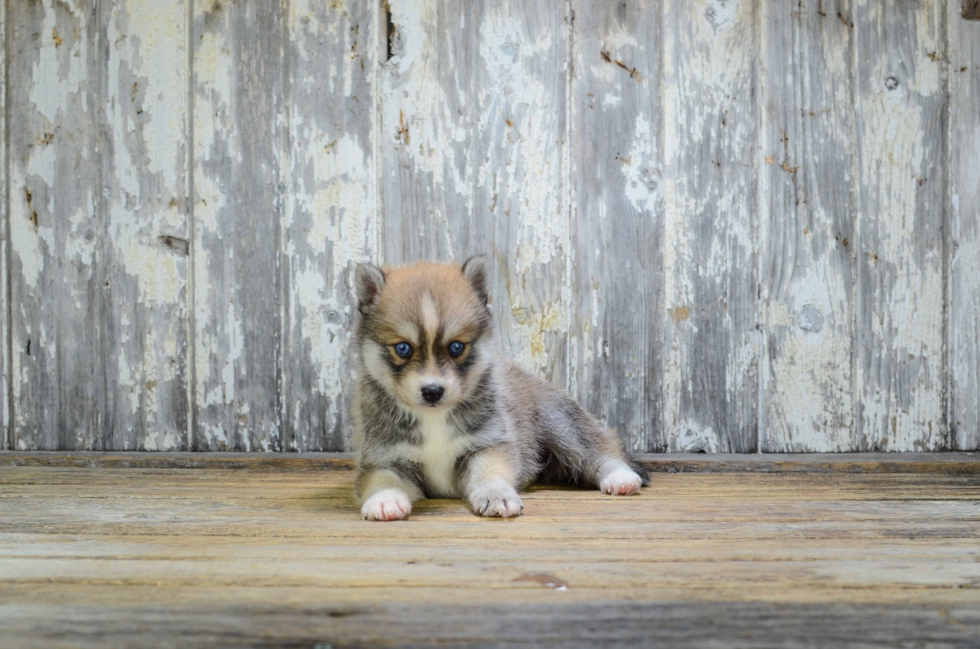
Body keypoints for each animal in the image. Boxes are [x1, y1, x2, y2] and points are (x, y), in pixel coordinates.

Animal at [354, 256, 652, 520]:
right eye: (403, 348)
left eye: (457, 347)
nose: (433, 391)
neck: (434, 419)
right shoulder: (383, 458)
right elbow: (383, 480)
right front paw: (384, 500)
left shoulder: (488, 444)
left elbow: (490, 473)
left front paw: (495, 495)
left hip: (561, 423)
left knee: (598, 449)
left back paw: (620, 477)